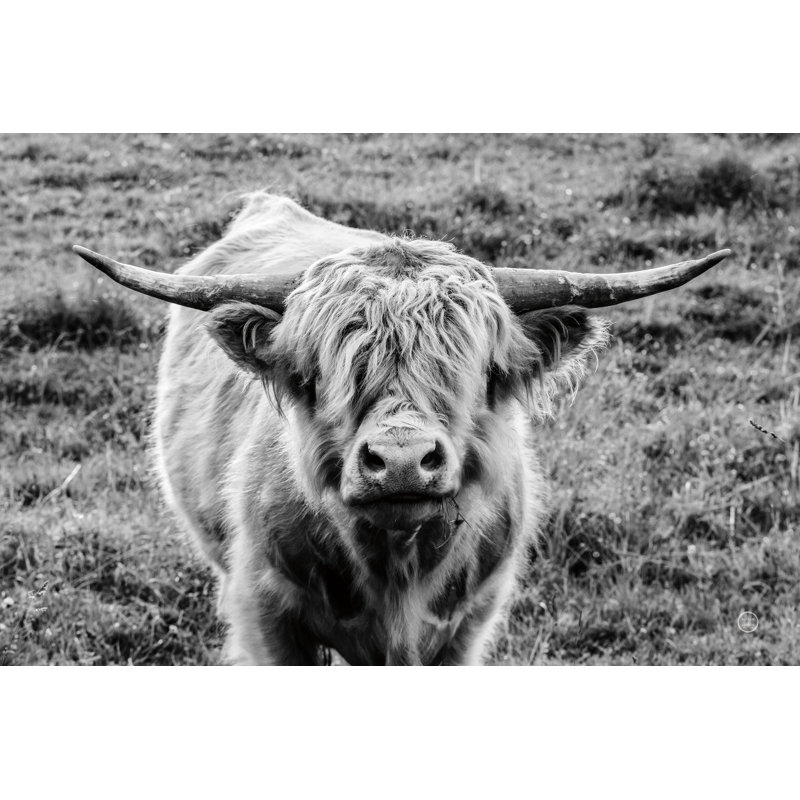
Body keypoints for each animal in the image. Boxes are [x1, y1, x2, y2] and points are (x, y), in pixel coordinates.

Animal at [74, 192, 730, 665]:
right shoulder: (266, 613)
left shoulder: (468, 625)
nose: (402, 461)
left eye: (479, 369)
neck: (396, 569)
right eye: (323, 371)